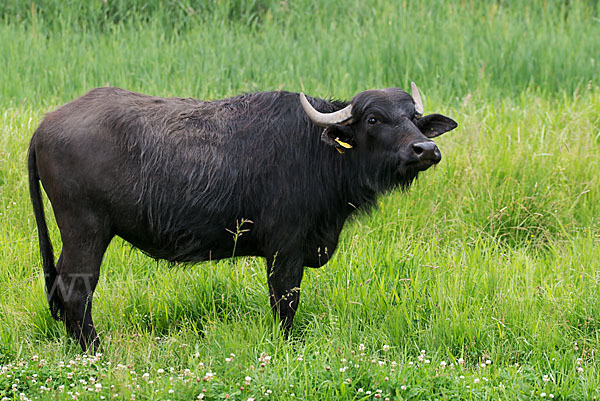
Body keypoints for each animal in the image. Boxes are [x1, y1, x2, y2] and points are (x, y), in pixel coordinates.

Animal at [28, 84, 458, 350]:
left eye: (412, 117)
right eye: (373, 119)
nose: (425, 149)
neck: (316, 152)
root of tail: (46, 123)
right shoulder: (285, 249)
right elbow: (285, 302)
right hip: (86, 231)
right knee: (77, 291)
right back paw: (96, 351)